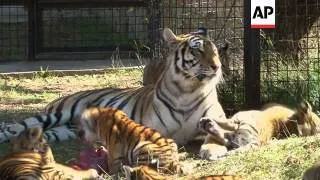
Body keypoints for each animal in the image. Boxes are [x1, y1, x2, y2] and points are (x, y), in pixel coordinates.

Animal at [0, 27, 226, 148]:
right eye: (197, 51)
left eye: (214, 51)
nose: (217, 66)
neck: (188, 90)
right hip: (57, 113)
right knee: (16, 127)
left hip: (63, 131)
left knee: (31, 134)